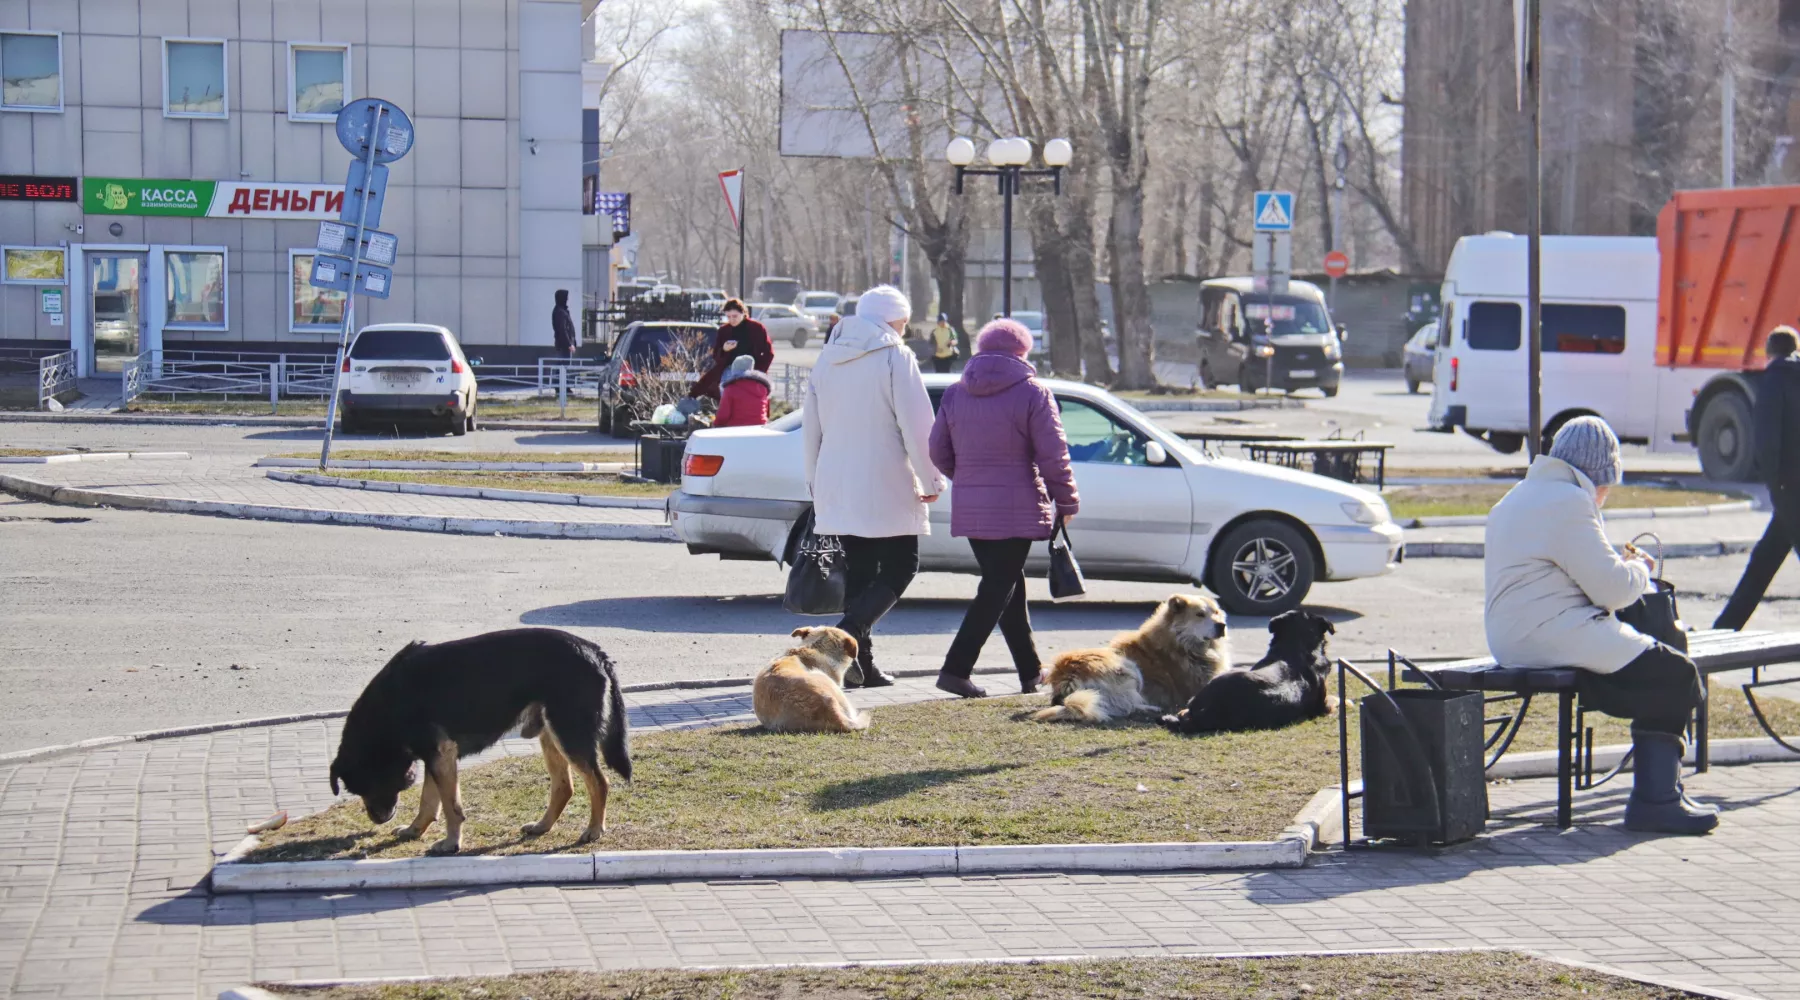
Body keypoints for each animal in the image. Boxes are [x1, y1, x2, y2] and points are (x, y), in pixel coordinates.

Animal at [329, 629, 633, 856]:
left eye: (367, 787)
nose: (377, 819)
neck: (389, 706)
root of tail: (594, 650)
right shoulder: (434, 757)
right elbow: (429, 802)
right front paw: (414, 831)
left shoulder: (440, 754)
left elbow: (451, 807)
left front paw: (451, 843)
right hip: (551, 735)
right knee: (564, 787)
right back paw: (542, 826)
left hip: (569, 735)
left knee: (599, 782)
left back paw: (594, 830)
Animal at [1036, 593, 1231, 726]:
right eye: (1200, 614)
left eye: (1216, 612)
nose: (1222, 626)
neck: (1181, 643)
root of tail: (1067, 676)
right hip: (1129, 667)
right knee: (1128, 705)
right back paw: (1152, 708)